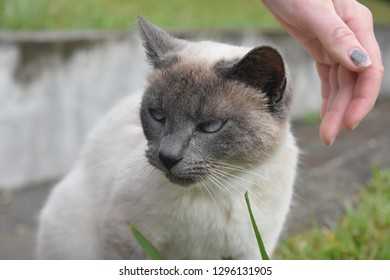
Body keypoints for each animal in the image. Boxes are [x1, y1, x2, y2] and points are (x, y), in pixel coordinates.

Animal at [37, 15, 298, 260]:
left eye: (210, 126)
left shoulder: (249, 251)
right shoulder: (129, 238)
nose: (168, 157)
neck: (214, 193)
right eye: (158, 115)